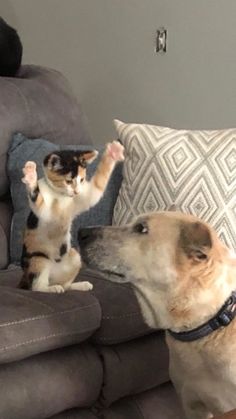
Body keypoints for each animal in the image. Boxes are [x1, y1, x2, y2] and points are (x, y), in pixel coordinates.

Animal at [18, 141, 124, 292]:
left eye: (82, 180)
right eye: (68, 181)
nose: (77, 191)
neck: (60, 195)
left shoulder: (84, 197)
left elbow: (97, 185)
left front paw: (113, 153)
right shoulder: (44, 213)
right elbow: (37, 198)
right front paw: (31, 176)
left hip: (74, 256)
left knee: (65, 285)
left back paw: (80, 285)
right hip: (38, 260)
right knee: (37, 287)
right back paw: (52, 289)